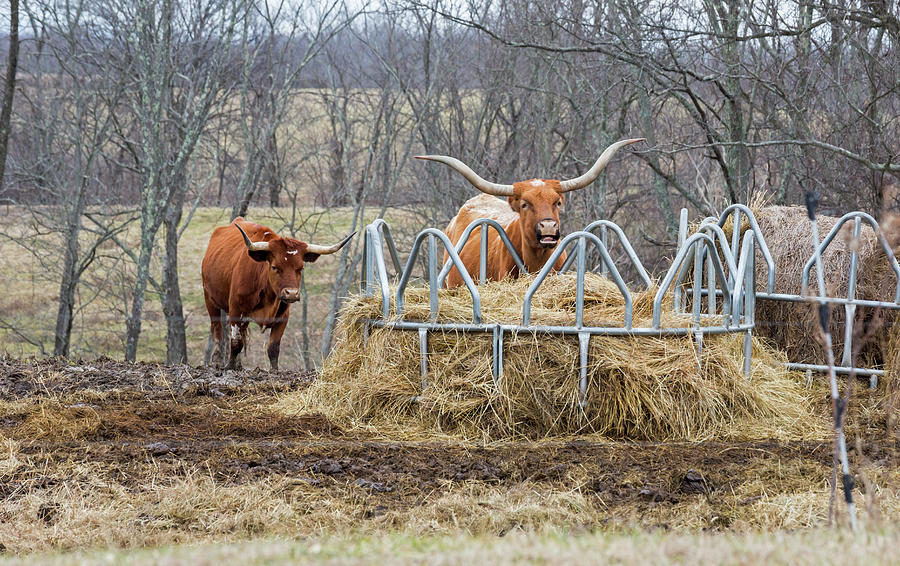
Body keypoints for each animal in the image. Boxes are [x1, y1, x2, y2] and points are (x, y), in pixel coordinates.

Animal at [202, 217, 354, 372]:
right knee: (217, 329)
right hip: (209, 299)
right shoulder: (236, 310)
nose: (291, 293)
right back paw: (217, 360)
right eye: (275, 267)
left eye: (300, 268)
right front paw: (230, 366)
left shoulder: (282, 316)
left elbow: (273, 347)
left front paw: (274, 370)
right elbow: (236, 342)